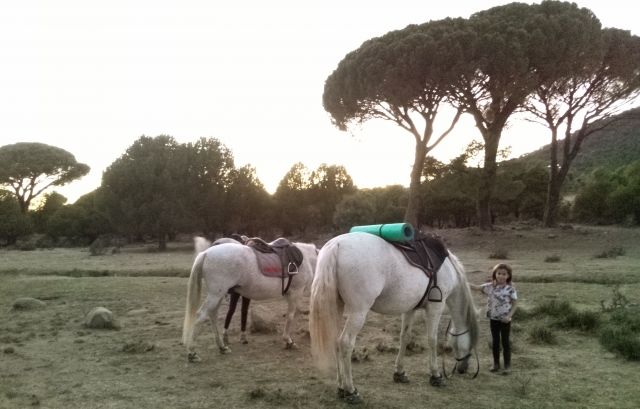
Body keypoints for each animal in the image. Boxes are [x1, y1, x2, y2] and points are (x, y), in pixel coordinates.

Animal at [182, 237, 318, 362]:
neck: (308, 260)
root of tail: (205, 253)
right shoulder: (295, 293)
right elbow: (290, 317)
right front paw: (288, 341)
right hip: (216, 294)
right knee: (200, 315)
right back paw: (192, 352)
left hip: (218, 295)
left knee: (213, 315)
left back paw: (222, 347)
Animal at [309, 232, 479, 404]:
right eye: (472, 342)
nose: (463, 369)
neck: (448, 268)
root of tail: (336, 244)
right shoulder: (435, 307)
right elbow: (432, 340)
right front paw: (436, 375)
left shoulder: (410, 308)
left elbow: (405, 337)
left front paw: (399, 373)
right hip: (358, 312)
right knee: (345, 343)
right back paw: (351, 391)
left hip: (337, 307)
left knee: (336, 343)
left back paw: (341, 387)